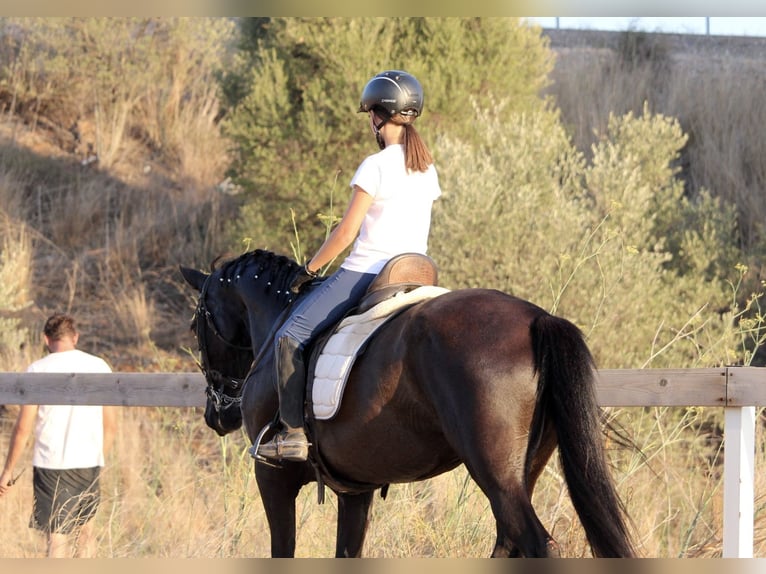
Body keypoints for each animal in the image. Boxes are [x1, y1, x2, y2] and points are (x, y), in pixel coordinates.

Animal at [180, 251, 636, 560]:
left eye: (196, 323)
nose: (217, 414)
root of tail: (537, 319)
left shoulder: (272, 477)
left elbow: (283, 549)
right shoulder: (356, 490)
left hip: (495, 472)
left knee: (534, 542)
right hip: (523, 469)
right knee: (509, 542)